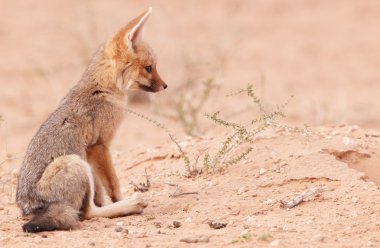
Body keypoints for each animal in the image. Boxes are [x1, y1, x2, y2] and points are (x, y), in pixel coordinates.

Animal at [15, 7, 166, 232]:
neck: (103, 87)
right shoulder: (99, 146)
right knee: (86, 213)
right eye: (149, 68)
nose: (165, 86)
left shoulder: (91, 152)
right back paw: (131, 205)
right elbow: (113, 185)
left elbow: (100, 191)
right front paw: (121, 200)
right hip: (76, 163)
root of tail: (28, 208)